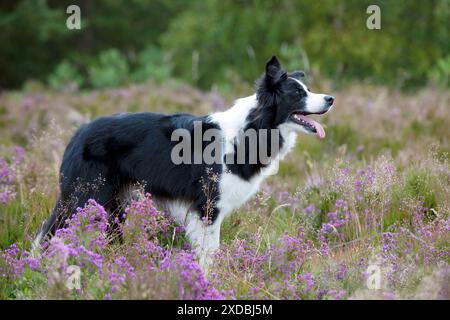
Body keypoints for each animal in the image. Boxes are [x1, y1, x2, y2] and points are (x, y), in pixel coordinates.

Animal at [35, 56, 334, 266]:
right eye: (298, 94)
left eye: (308, 89)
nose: (330, 98)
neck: (253, 128)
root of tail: (78, 133)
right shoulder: (208, 206)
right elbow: (209, 253)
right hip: (85, 196)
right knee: (48, 233)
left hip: (111, 203)